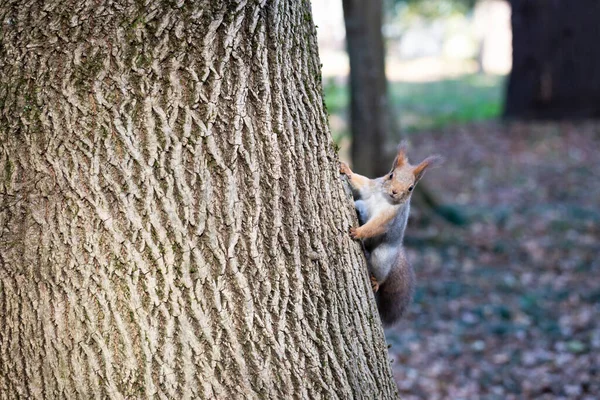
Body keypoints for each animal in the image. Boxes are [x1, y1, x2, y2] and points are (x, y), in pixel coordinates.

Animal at [340, 142, 442, 326]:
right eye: (390, 175)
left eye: (410, 188)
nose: (395, 191)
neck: (384, 197)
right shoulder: (371, 186)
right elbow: (361, 181)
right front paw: (346, 169)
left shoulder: (388, 217)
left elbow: (376, 226)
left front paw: (358, 232)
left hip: (381, 256)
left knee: (381, 272)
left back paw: (376, 281)